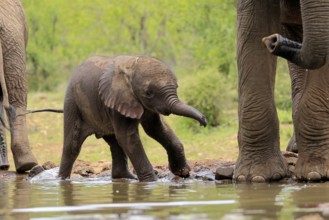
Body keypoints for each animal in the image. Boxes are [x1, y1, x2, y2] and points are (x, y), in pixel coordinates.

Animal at [58, 55, 206, 182]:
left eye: (176, 87)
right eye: (148, 93)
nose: (203, 121)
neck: (131, 66)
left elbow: (156, 129)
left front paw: (182, 172)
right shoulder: (118, 99)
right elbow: (129, 137)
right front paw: (151, 181)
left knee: (115, 142)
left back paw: (125, 177)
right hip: (72, 103)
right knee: (72, 146)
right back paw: (62, 180)